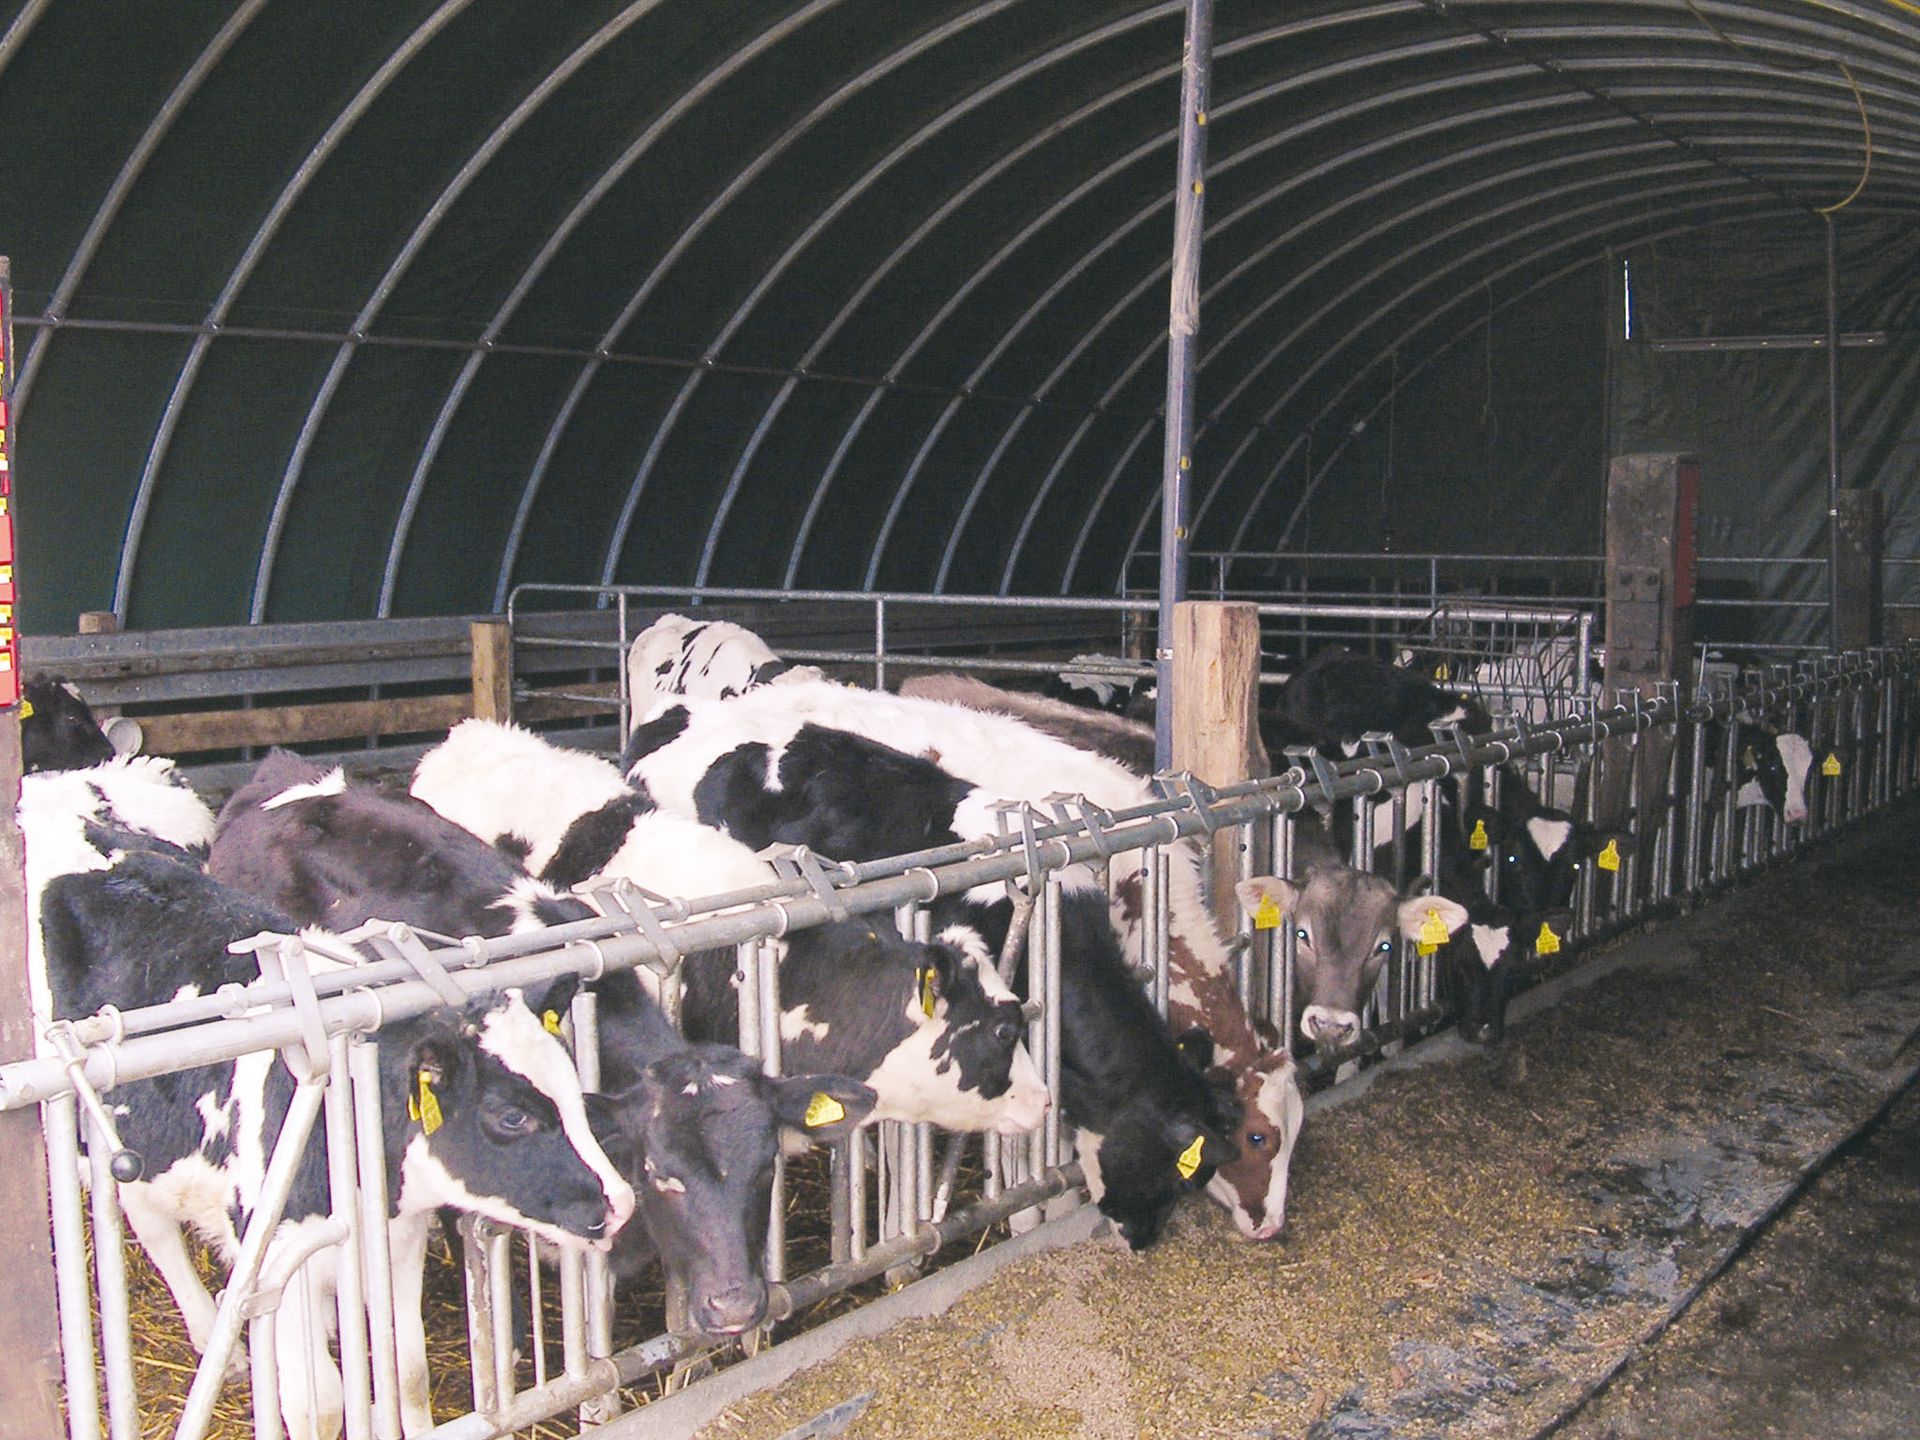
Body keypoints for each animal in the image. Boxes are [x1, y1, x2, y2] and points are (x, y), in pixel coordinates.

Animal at [23, 794, 633, 1440]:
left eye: (571, 1083)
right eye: (510, 1117)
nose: (620, 1201)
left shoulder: (400, 1237)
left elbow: (407, 1369)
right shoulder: (277, 1265)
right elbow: (319, 1404)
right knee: (151, 1224)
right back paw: (220, 1342)